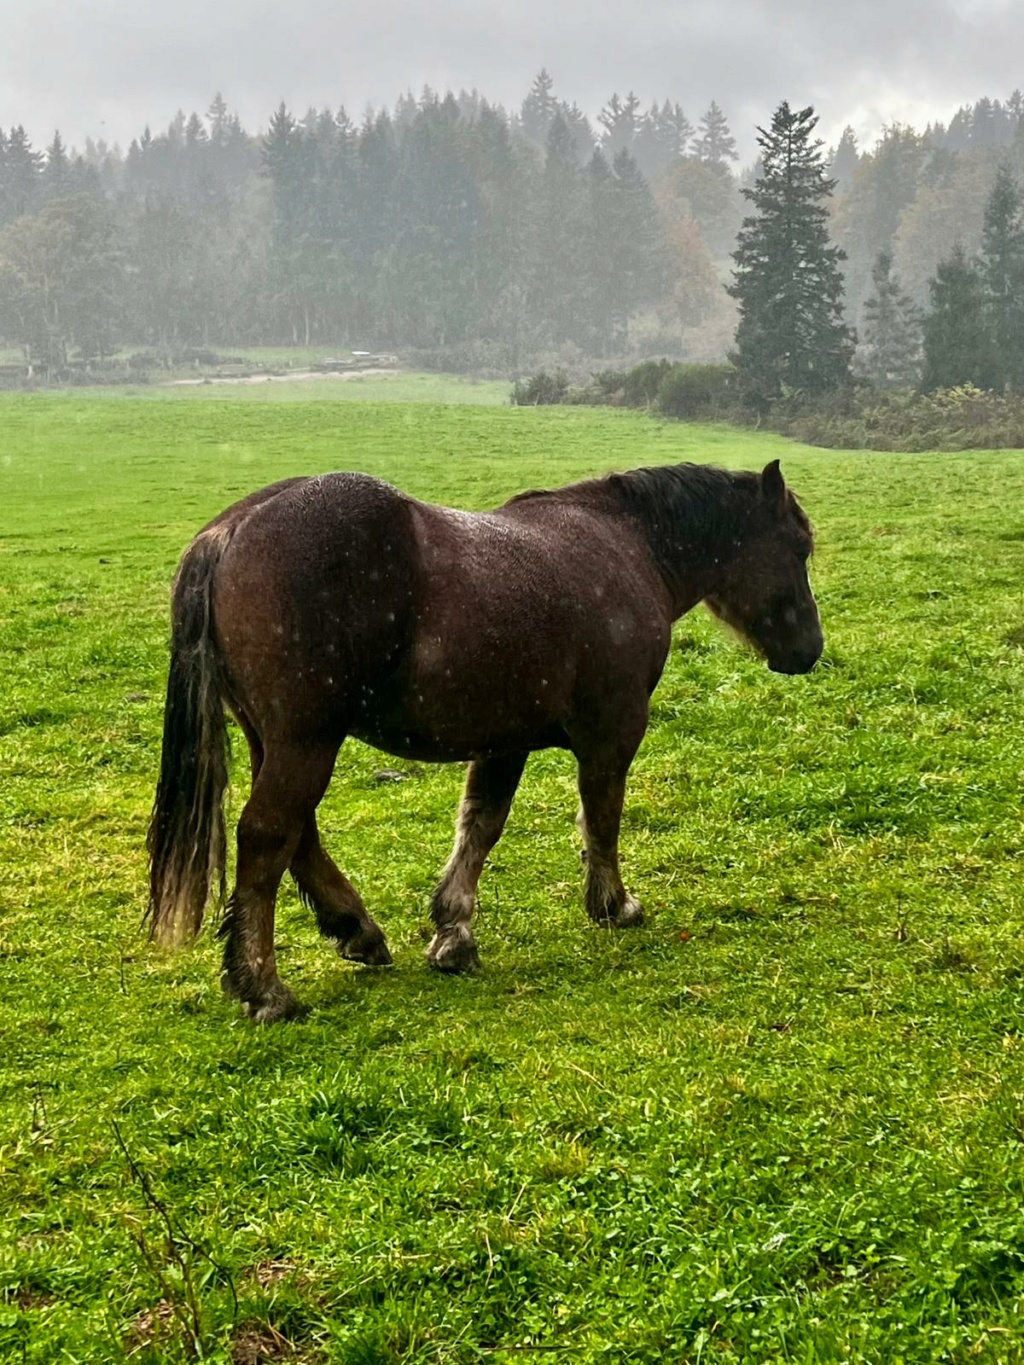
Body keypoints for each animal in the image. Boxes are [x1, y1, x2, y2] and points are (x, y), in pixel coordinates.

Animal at [146, 461, 824, 1026]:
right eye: (799, 546)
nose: (810, 650)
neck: (626, 546)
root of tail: (231, 531)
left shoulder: (504, 742)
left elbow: (480, 826)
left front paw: (453, 934)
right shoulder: (613, 731)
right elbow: (601, 818)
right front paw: (613, 905)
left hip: (278, 740)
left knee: (298, 835)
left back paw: (356, 929)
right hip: (305, 740)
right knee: (267, 836)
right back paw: (263, 987)